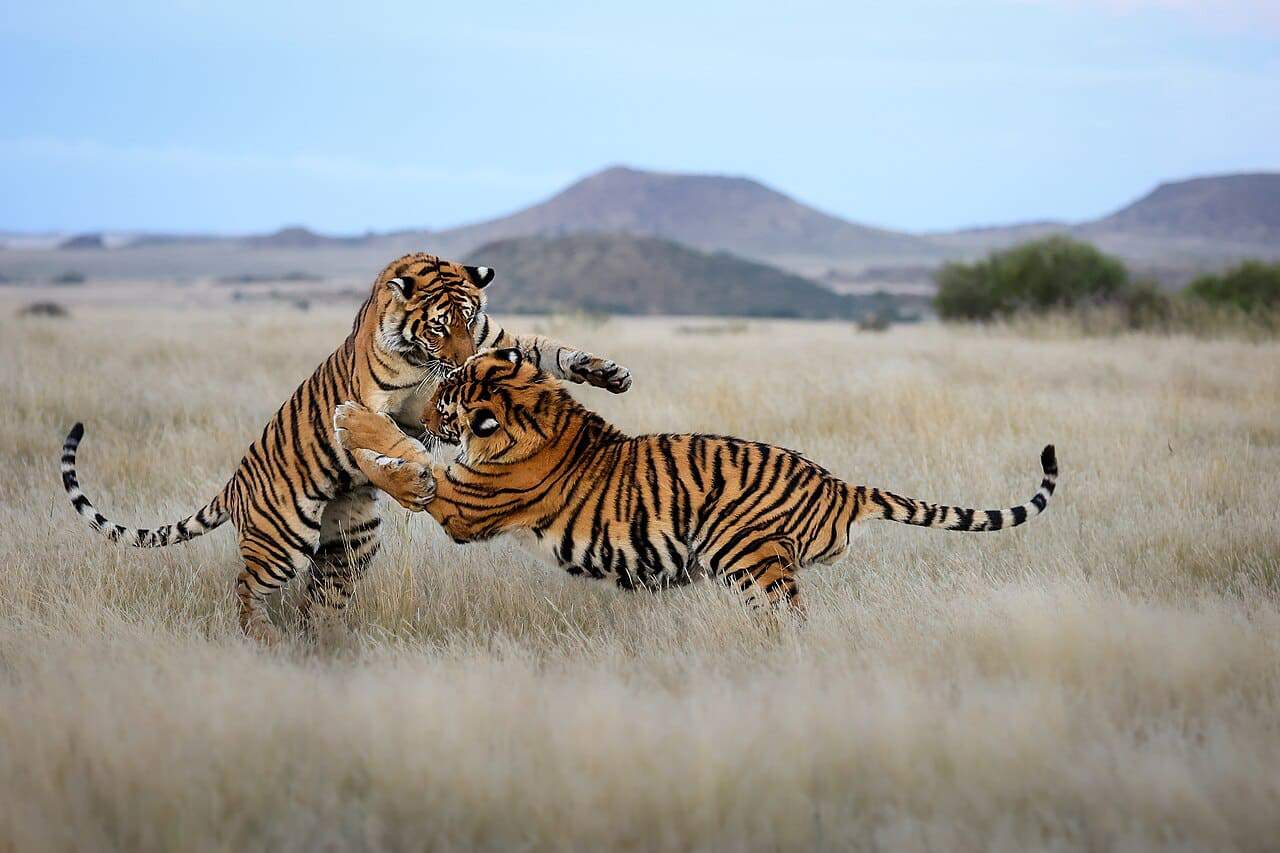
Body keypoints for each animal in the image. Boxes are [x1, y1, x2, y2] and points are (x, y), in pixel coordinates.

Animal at [60, 253, 632, 642]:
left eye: (470, 320)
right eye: (441, 325)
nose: (463, 363)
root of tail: (234, 484)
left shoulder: (497, 345)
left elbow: (547, 349)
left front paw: (605, 371)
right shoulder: (374, 405)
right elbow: (378, 444)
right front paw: (411, 482)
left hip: (352, 545)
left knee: (322, 594)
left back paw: (325, 642)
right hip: (281, 541)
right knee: (245, 586)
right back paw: (264, 639)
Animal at [331, 347, 1057, 612]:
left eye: (447, 398)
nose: (428, 407)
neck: (536, 414)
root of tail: (840, 485)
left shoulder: (464, 503)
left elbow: (400, 467)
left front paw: (350, 421)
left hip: (750, 556)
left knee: (788, 619)